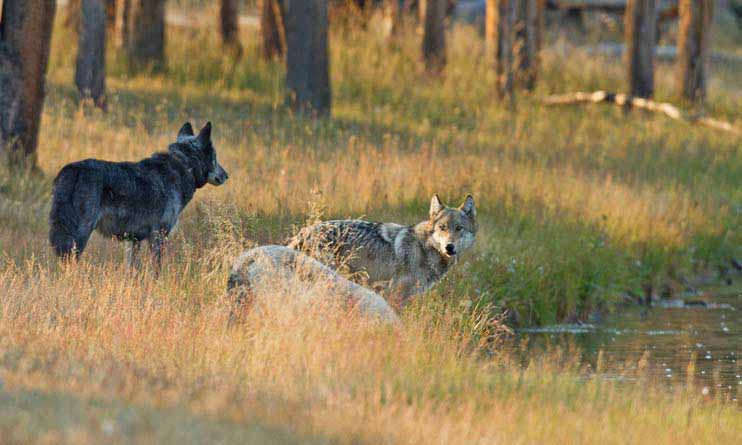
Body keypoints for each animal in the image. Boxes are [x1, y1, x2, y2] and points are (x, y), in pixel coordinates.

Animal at [48, 119, 228, 266]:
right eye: (216, 157)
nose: (226, 175)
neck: (184, 165)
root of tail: (72, 170)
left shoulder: (133, 240)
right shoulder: (158, 237)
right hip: (79, 236)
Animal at [288, 194, 480, 306]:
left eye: (459, 228)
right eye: (442, 227)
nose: (449, 247)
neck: (424, 249)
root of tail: (304, 232)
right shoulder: (394, 295)